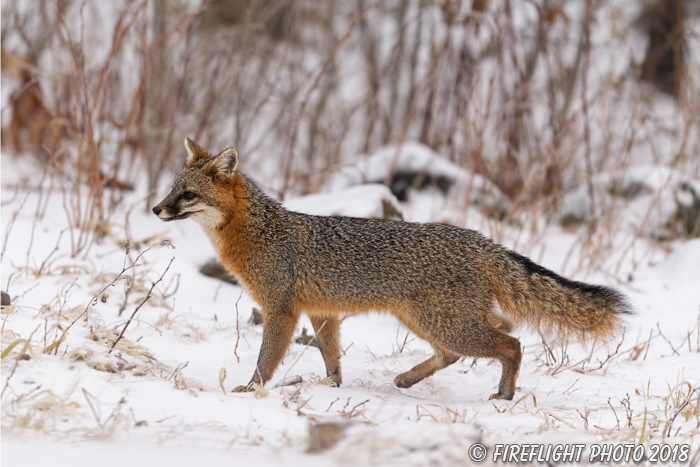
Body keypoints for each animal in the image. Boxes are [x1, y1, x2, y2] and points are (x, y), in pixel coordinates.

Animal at [154, 137, 636, 400]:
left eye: (187, 195)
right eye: (171, 189)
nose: (156, 209)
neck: (260, 232)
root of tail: (481, 241)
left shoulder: (281, 311)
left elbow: (265, 360)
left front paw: (250, 390)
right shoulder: (322, 313)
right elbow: (332, 360)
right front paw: (331, 390)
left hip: (445, 323)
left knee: (511, 344)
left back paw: (504, 395)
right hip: (431, 322)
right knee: (465, 349)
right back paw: (407, 379)